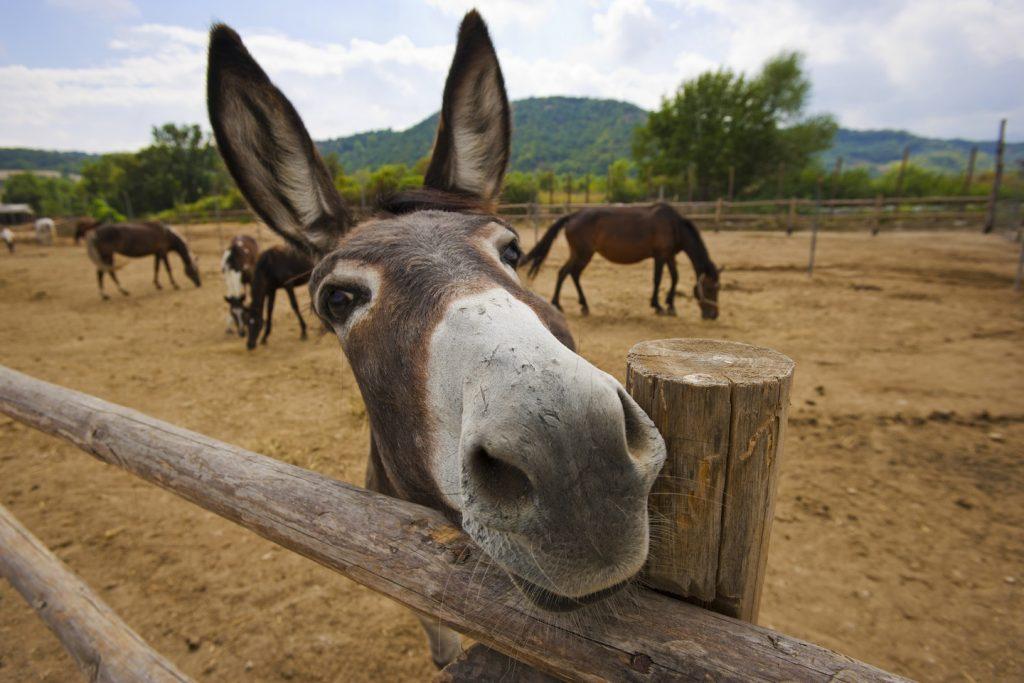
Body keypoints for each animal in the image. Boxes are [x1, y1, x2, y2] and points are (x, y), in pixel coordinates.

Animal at [524, 204, 724, 319]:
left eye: (718, 288)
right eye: (710, 289)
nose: (713, 315)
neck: (674, 225)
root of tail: (572, 216)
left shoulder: (669, 256)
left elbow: (675, 278)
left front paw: (671, 306)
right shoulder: (660, 256)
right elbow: (658, 279)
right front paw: (658, 306)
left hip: (579, 254)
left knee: (568, 273)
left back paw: (580, 305)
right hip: (583, 254)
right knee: (568, 273)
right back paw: (561, 304)